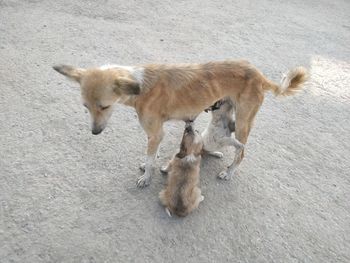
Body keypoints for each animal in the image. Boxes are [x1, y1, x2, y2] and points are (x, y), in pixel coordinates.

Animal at [52, 60, 306, 188]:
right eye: (85, 107)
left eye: (104, 107)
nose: (95, 132)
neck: (139, 86)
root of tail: (260, 75)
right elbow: (151, 156)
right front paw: (150, 166)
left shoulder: (156, 133)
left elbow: (150, 158)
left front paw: (147, 177)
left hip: (244, 122)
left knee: (241, 152)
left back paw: (229, 173)